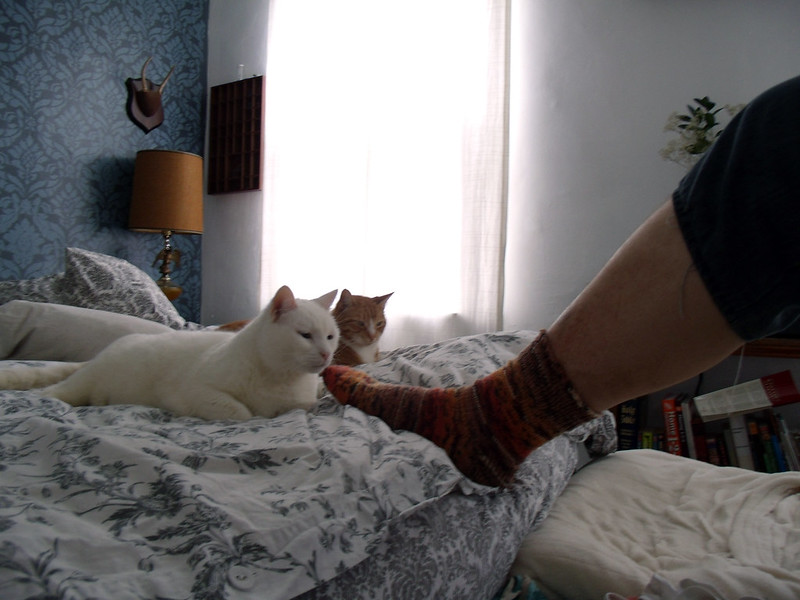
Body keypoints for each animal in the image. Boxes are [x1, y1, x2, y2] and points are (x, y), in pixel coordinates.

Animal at [0, 288, 340, 420]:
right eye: (305, 336)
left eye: (330, 337)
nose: (326, 355)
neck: (284, 380)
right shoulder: (194, 391)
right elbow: (242, 412)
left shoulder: (302, 403)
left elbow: (304, 405)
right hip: (86, 382)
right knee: (56, 390)